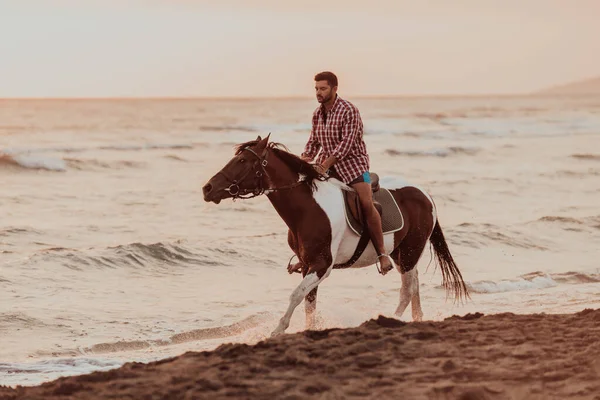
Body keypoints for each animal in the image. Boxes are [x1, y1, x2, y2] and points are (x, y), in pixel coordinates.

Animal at [202, 135, 468, 338]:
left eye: (242, 160)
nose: (208, 188)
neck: (307, 208)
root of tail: (425, 195)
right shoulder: (307, 265)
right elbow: (309, 303)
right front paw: (308, 329)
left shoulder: (322, 266)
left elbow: (296, 295)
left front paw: (278, 329)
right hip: (402, 254)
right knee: (414, 287)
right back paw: (415, 320)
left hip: (411, 252)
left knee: (407, 290)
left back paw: (391, 319)